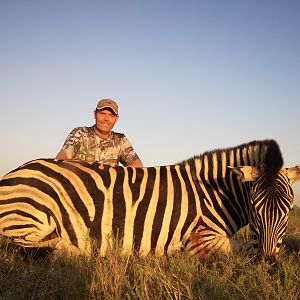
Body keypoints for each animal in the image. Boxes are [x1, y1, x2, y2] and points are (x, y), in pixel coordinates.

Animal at [0, 139, 298, 258]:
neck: (213, 194)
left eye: (286, 212)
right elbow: (244, 249)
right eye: (255, 210)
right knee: (28, 245)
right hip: (34, 217)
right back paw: (73, 252)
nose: (269, 262)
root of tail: (13, 172)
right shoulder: (201, 239)